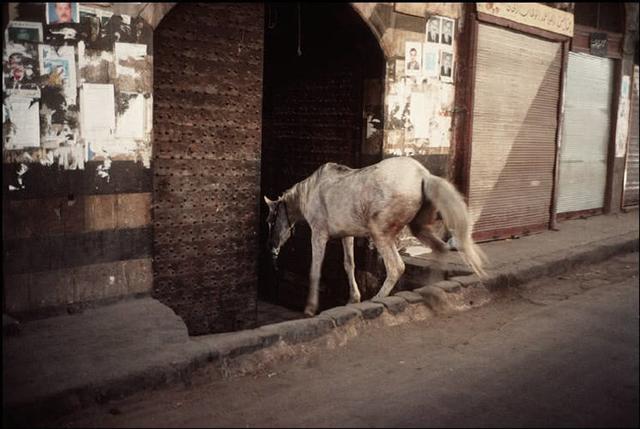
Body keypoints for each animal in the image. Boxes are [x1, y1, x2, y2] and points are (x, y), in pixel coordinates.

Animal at [262, 156, 488, 314]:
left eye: (270, 220)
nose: (271, 247)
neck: (310, 192)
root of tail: (423, 175)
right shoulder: (347, 235)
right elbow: (349, 264)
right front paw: (353, 298)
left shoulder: (319, 234)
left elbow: (315, 269)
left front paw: (310, 308)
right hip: (418, 228)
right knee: (440, 248)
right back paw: (433, 291)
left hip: (380, 234)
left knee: (396, 267)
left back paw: (378, 299)